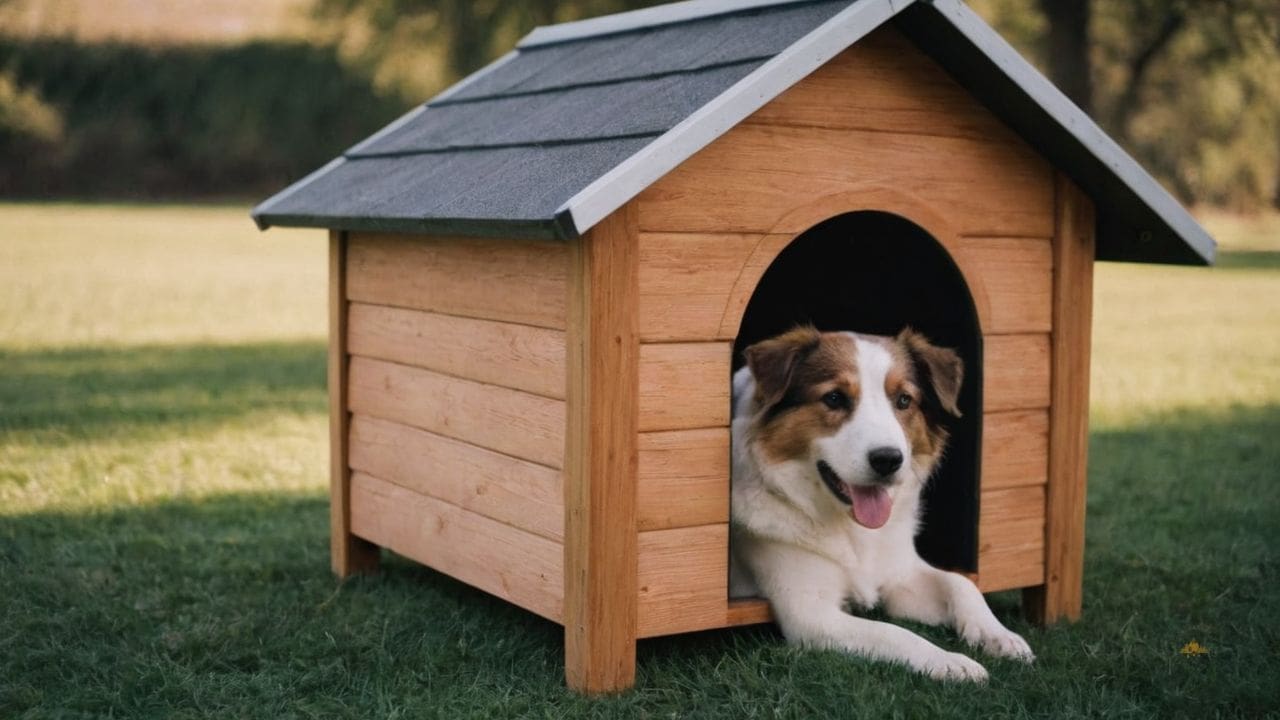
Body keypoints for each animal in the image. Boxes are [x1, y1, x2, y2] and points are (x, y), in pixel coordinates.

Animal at [727, 325, 1034, 676]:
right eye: (834, 398)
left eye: (903, 400)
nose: (888, 460)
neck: (850, 528)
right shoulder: (810, 613)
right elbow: (894, 632)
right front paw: (950, 662)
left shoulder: (901, 574)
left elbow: (960, 583)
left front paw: (997, 634)